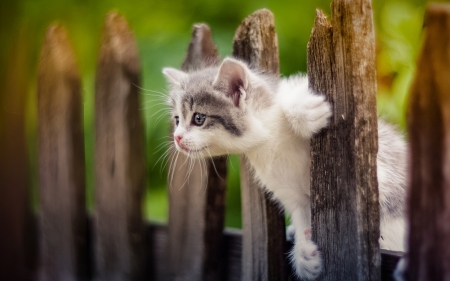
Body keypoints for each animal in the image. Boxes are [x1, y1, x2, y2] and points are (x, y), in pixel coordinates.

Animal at [163, 57, 408, 280]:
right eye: (177, 120)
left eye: (198, 118)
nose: (177, 137)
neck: (269, 143)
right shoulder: (291, 194)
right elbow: (302, 215)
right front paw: (304, 254)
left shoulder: (378, 160)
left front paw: (305, 110)